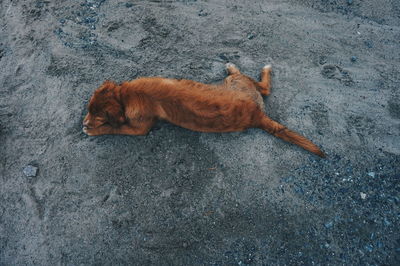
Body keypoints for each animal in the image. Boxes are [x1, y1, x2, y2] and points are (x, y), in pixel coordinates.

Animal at [82, 63, 324, 157]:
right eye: (89, 109)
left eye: (98, 116)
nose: (84, 123)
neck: (125, 95)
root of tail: (257, 115)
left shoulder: (139, 128)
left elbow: (114, 129)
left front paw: (92, 131)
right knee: (263, 89)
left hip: (234, 82)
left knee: (257, 83)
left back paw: (234, 66)